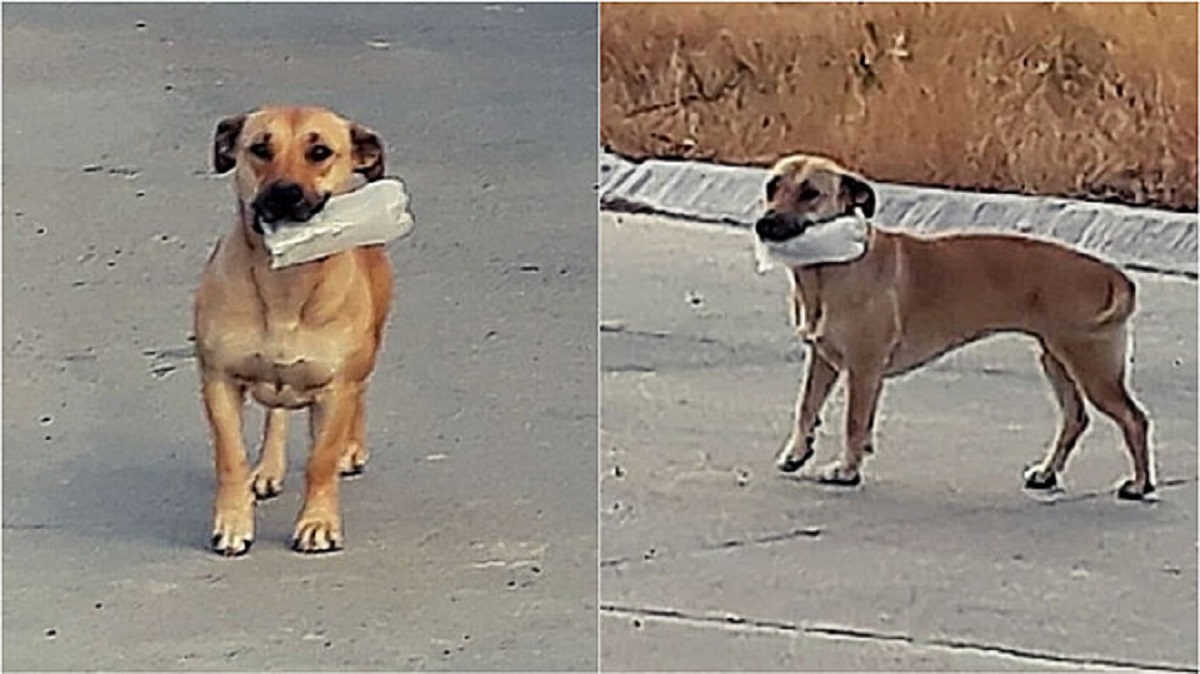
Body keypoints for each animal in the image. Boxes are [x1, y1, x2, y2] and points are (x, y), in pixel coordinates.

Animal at [193, 104, 393, 554]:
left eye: (320, 152)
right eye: (259, 148)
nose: (284, 191)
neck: (287, 279)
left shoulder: (337, 387)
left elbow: (320, 460)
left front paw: (317, 523)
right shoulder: (219, 380)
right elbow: (230, 457)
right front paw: (233, 522)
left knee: (361, 395)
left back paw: (351, 448)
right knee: (276, 415)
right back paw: (269, 468)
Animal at [758, 153, 1152, 498]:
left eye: (810, 192)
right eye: (772, 186)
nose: (764, 223)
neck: (833, 266)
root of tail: (1113, 274)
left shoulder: (864, 368)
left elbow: (855, 422)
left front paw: (847, 469)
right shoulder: (823, 359)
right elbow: (807, 406)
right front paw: (797, 452)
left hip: (1093, 366)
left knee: (1134, 419)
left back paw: (1139, 485)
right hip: (1056, 359)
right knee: (1075, 418)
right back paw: (1046, 473)